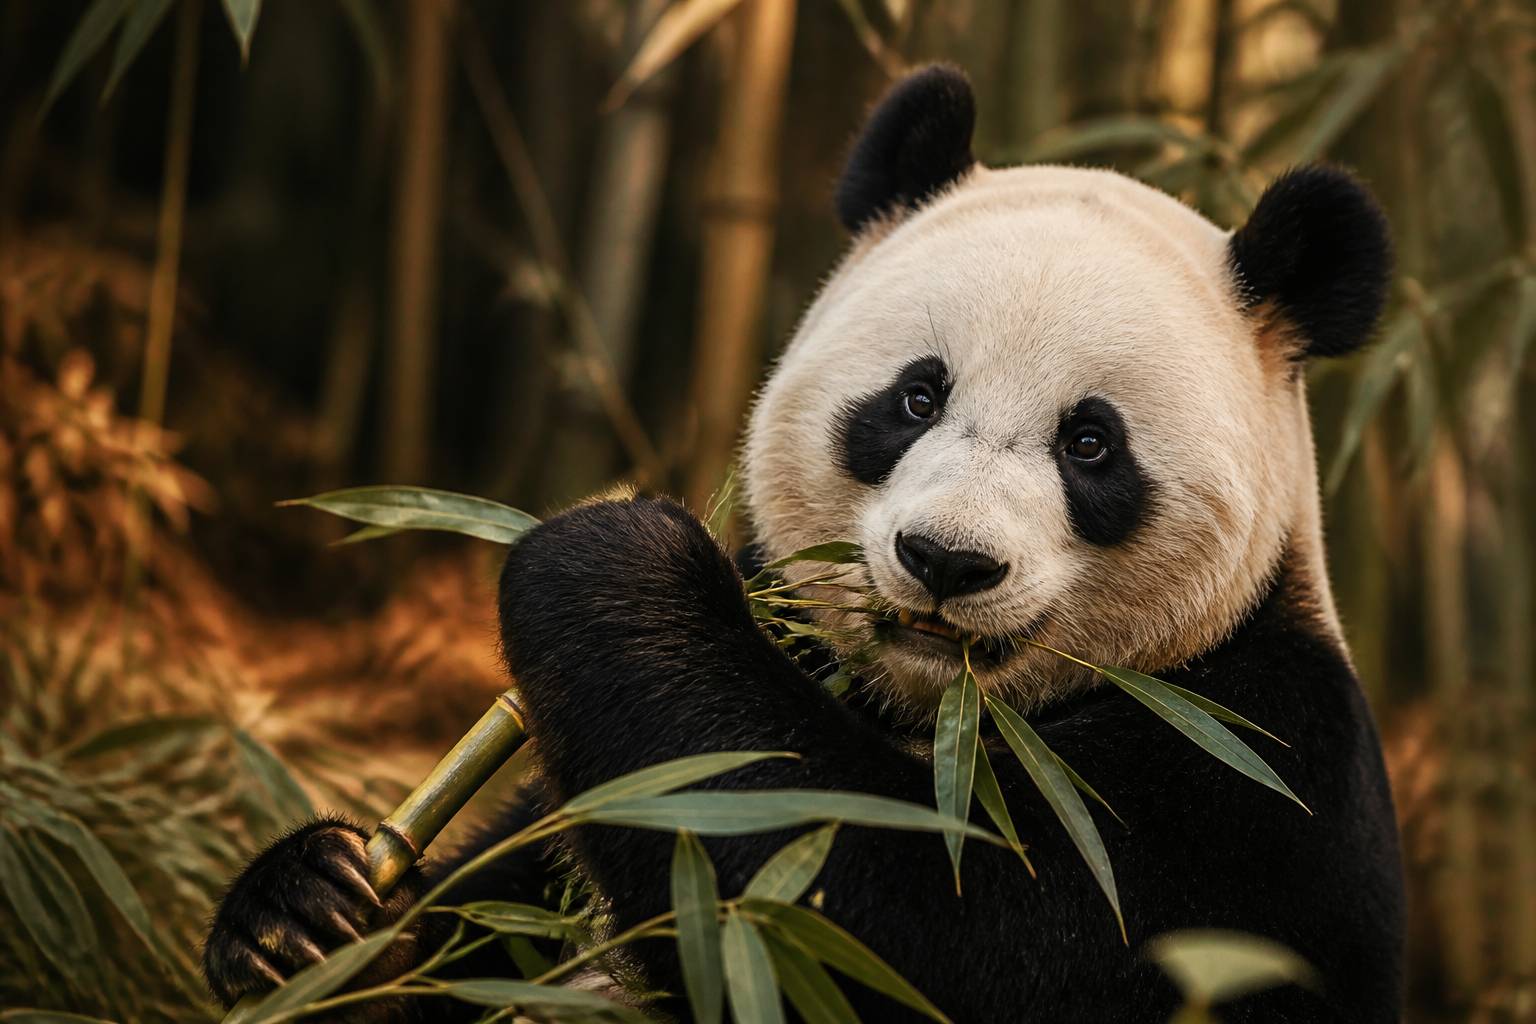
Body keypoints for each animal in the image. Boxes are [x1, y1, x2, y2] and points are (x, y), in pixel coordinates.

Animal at [204, 66, 1405, 1022]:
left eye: (1091, 444)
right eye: (916, 397)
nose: (946, 561)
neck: (937, 715)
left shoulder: (1252, 779)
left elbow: (904, 914)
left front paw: (610, 563)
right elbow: (487, 915)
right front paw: (307, 915)